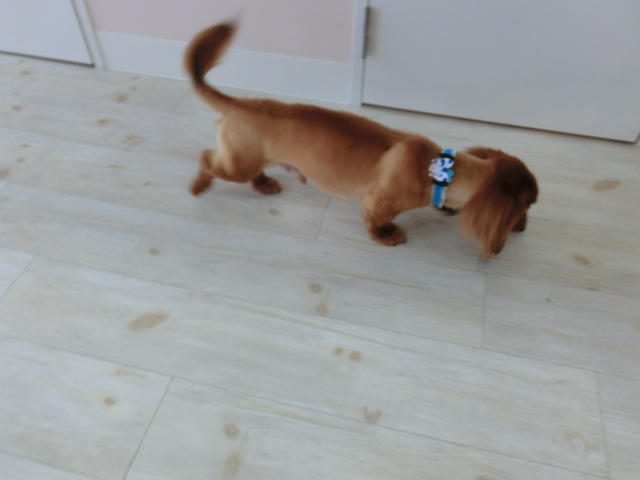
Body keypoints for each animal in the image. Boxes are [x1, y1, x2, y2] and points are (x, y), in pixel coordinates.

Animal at [185, 22, 538, 259]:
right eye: (523, 209)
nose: (524, 229)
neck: (439, 168)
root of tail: (240, 104)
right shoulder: (377, 204)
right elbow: (376, 222)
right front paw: (387, 236)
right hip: (238, 164)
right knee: (206, 158)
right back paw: (199, 185)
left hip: (253, 159)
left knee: (249, 170)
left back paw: (264, 184)